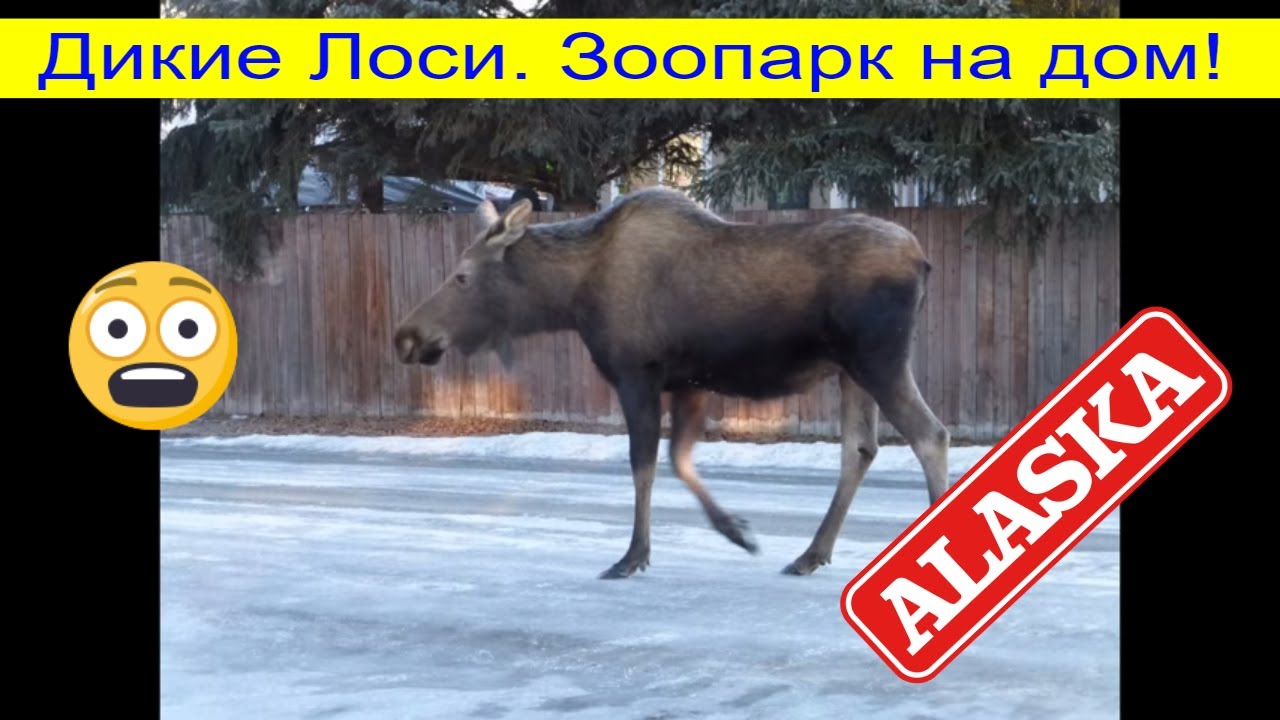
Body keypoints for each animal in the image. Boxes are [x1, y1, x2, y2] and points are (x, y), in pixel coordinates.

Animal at [393, 187, 950, 579]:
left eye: (462, 276)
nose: (406, 336)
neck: (570, 298)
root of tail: (923, 261)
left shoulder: (636, 373)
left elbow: (643, 464)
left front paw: (632, 555)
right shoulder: (690, 382)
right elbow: (680, 459)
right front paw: (737, 531)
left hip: (879, 359)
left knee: (930, 435)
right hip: (852, 371)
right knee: (860, 449)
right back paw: (811, 553)